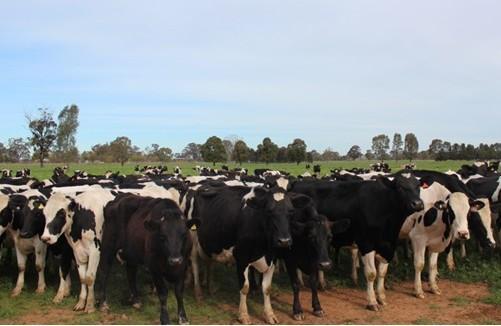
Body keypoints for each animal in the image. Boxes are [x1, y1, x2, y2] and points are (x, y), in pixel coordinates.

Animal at [290, 176, 422, 310]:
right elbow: (371, 273)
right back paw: (301, 281)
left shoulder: (388, 246)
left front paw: (381, 297)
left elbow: (382, 273)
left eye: (418, 186)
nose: (417, 203)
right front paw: (372, 302)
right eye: (400, 187)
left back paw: (321, 283)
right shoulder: (366, 244)